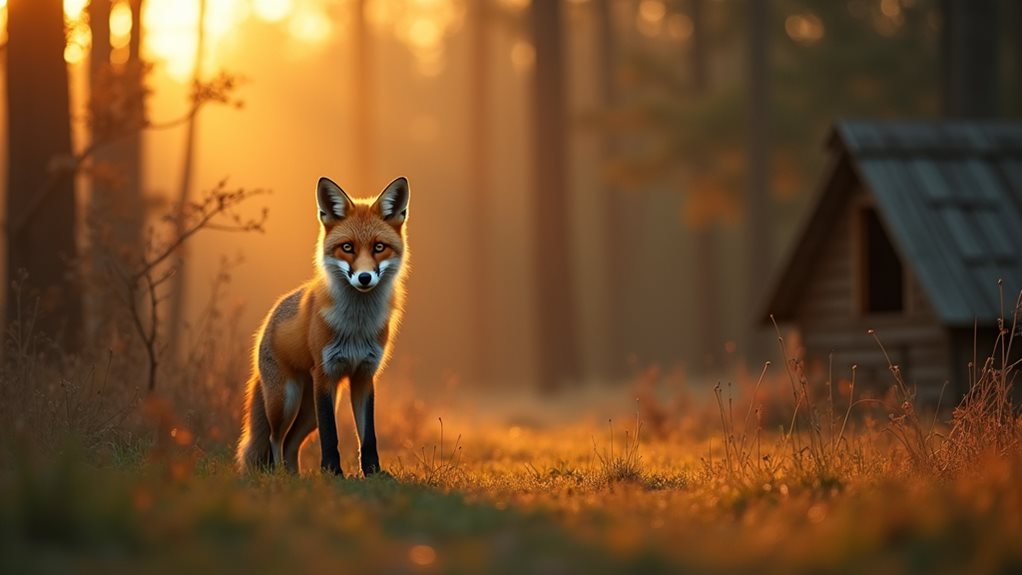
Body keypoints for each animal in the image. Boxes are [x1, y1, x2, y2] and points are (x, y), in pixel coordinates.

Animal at [236, 176, 410, 476]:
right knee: (274, 438)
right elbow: (331, 435)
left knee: (291, 443)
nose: (364, 277)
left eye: (379, 247)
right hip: (286, 401)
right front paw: (332, 472)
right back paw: (280, 475)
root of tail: (269, 318)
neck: (356, 326)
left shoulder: (364, 375)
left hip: (308, 413)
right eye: (347, 247)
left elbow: (369, 436)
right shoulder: (326, 375)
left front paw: (373, 473)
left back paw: (295, 477)